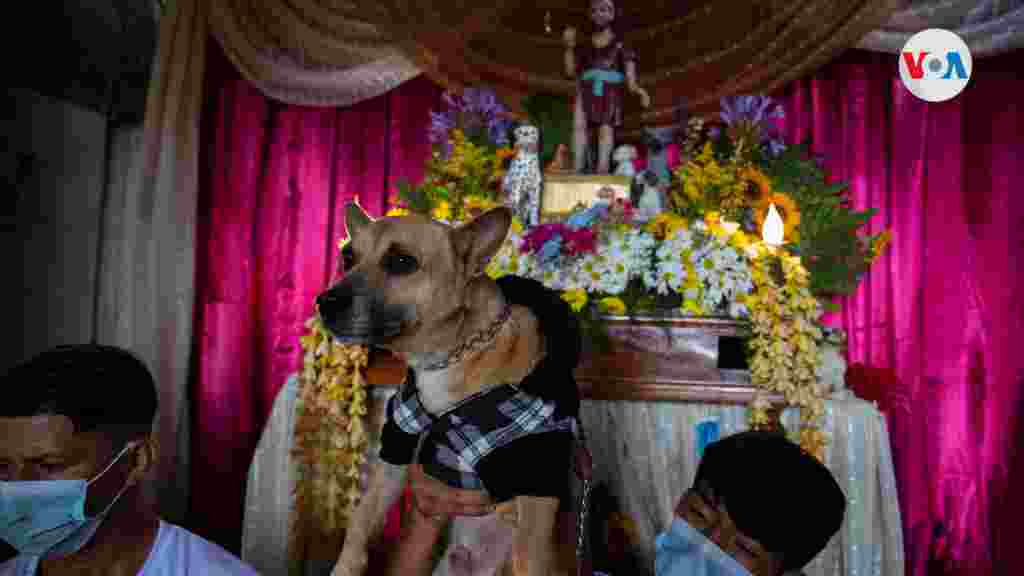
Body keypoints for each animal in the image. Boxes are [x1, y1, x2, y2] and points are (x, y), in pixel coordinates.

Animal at [319, 202, 577, 573]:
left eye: (402, 261)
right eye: (347, 258)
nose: (323, 302)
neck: (448, 358)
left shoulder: (535, 481)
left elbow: (528, 557)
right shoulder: (395, 450)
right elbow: (361, 519)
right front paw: (346, 566)